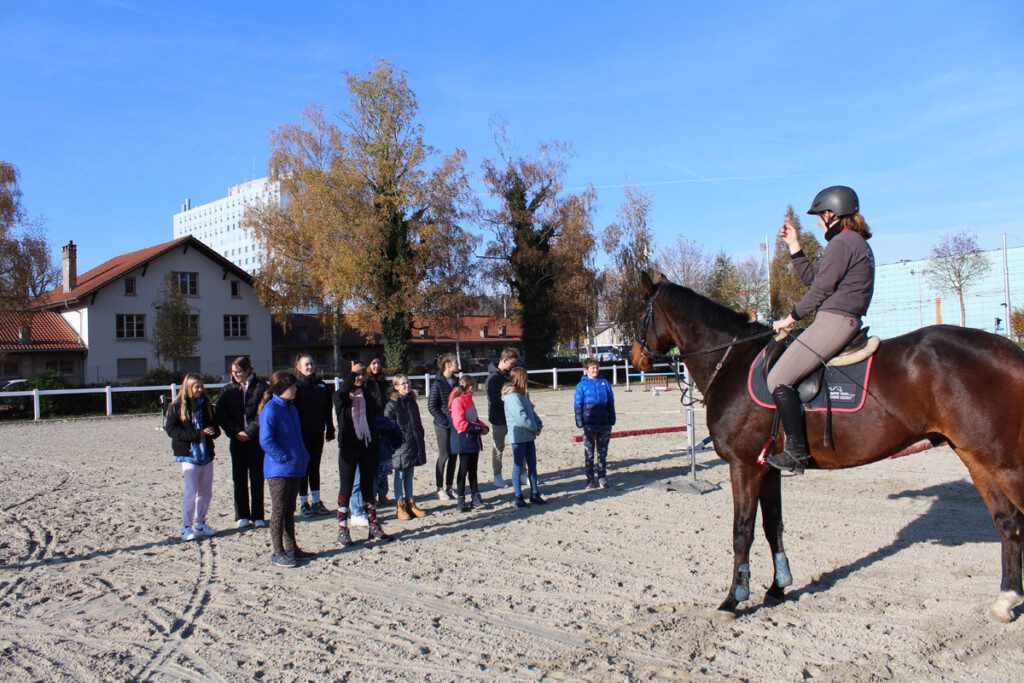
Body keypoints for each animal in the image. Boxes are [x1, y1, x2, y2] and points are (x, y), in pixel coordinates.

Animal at [630, 270, 1024, 622]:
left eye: (640, 313)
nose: (635, 357)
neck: (732, 361)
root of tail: (1009, 350)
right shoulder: (768, 468)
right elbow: (774, 525)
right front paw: (778, 588)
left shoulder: (743, 465)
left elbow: (742, 531)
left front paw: (733, 599)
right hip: (974, 456)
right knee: (1007, 522)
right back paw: (1005, 601)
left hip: (1004, 462)